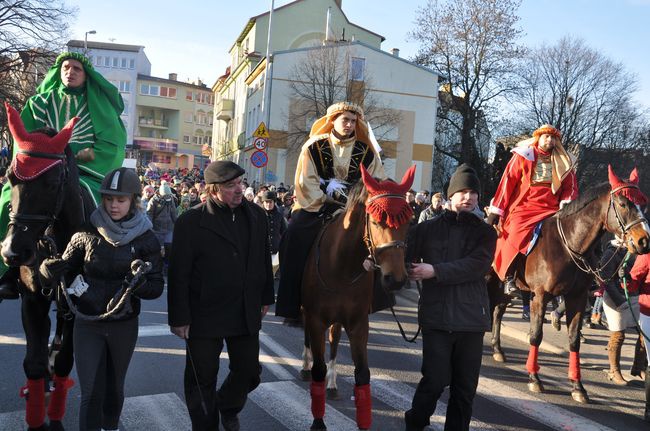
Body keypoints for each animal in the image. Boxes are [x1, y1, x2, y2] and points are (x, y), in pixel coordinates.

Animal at [300, 164, 412, 430]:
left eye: (409, 222)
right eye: (377, 221)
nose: (396, 279)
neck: (341, 265)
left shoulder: (358, 323)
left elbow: (362, 373)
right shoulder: (316, 319)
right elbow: (318, 368)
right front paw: (318, 422)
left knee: (334, 341)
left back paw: (332, 384)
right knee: (308, 337)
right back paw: (305, 365)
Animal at [486, 166, 648, 404]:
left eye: (644, 204)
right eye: (623, 203)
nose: (644, 241)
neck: (569, 244)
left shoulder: (577, 297)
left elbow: (574, 340)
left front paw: (577, 387)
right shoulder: (540, 296)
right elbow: (536, 335)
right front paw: (534, 378)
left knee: (497, 311)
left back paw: (497, 349)